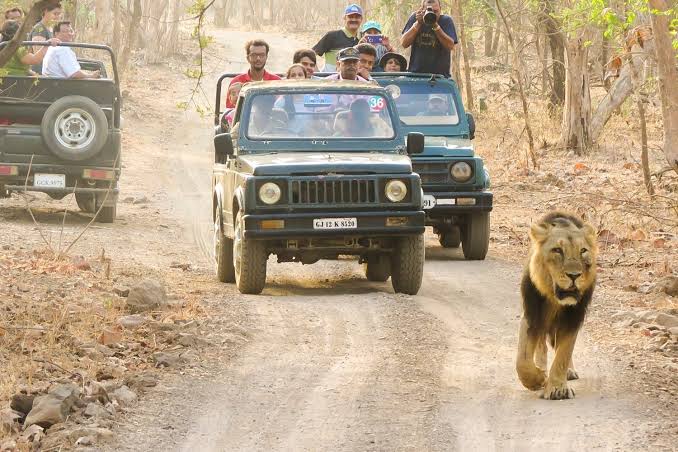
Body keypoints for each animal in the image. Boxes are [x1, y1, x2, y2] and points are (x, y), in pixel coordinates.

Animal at [516, 211, 598, 400]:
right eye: (557, 250)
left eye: (583, 251)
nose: (574, 275)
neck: (555, 300)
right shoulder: (531, 316)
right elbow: (522, 360)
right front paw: (537, 379)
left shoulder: (573, 319)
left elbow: (563, 354)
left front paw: (557, 388)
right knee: (541, 345)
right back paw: (541, 367)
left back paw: (569, 371)